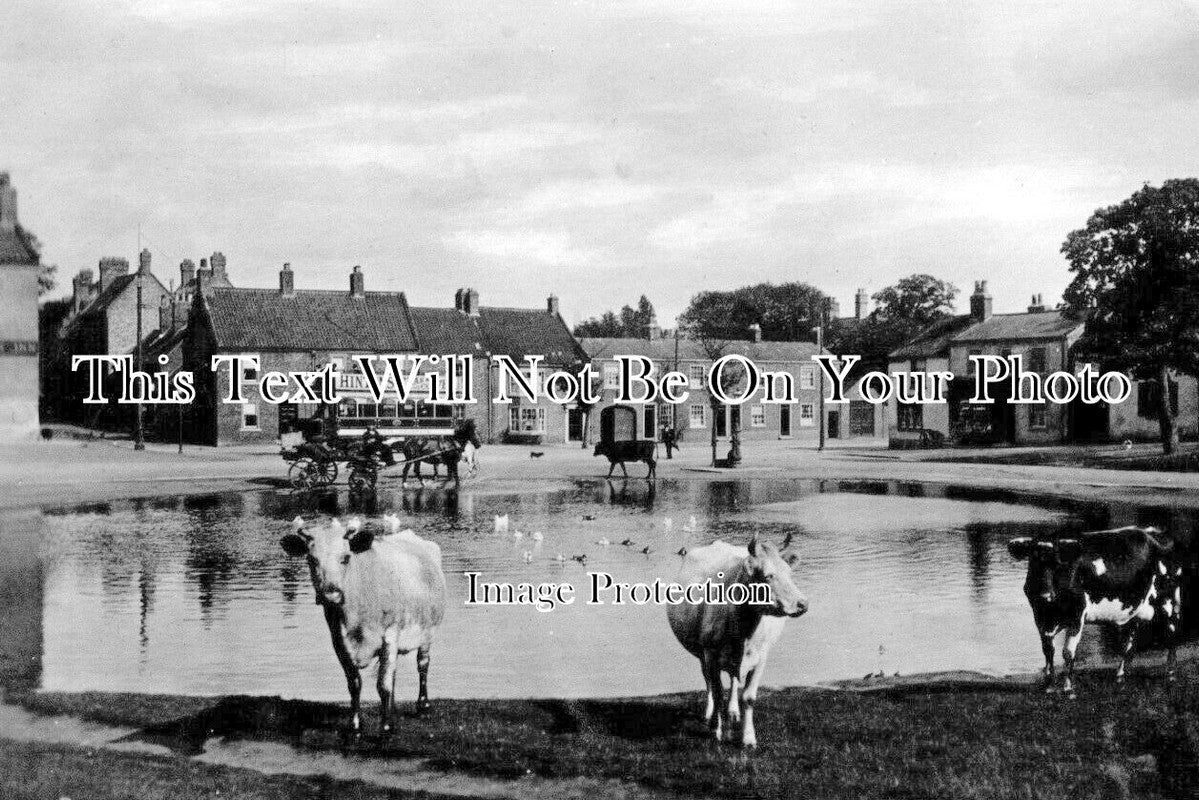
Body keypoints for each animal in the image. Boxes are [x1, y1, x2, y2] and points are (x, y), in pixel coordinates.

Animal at [278, 515, 448, 734]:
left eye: (345, 558)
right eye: (311, 559)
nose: (330, 595)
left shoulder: (390, 635)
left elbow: (383, 685)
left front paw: (385, 727)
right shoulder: (339, 640)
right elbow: (355, 683)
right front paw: (356, 725)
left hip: (427, 632)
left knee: (422, 664)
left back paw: (423, 704)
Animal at [666, 537, 805, 753]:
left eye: (790, 573)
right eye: (768, 575)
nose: (802, 604)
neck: (744, 630)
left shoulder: (761, 657)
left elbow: (748, 697)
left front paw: (748, 738)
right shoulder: (710, 654)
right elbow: (717, 692)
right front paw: (716, 730)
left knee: (733, 679)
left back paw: (733, 711)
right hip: (701, 653)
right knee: (708, 680)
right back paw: (710, 714)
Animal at [1007, 525, 1184, 695]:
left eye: (1057, 563)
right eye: (1033, 560)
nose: (1045, 595)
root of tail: (1156, 532)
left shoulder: (1077, 615)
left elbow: (1068, 653)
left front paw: (1068, 688)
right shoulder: (1040, 617)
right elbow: (1048, 651)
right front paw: (1049, 686)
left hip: (1168, 601)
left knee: (1172, 634)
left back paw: (1171, 673)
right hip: (1134, 610)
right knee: (1129, 643)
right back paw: (1120, 676)